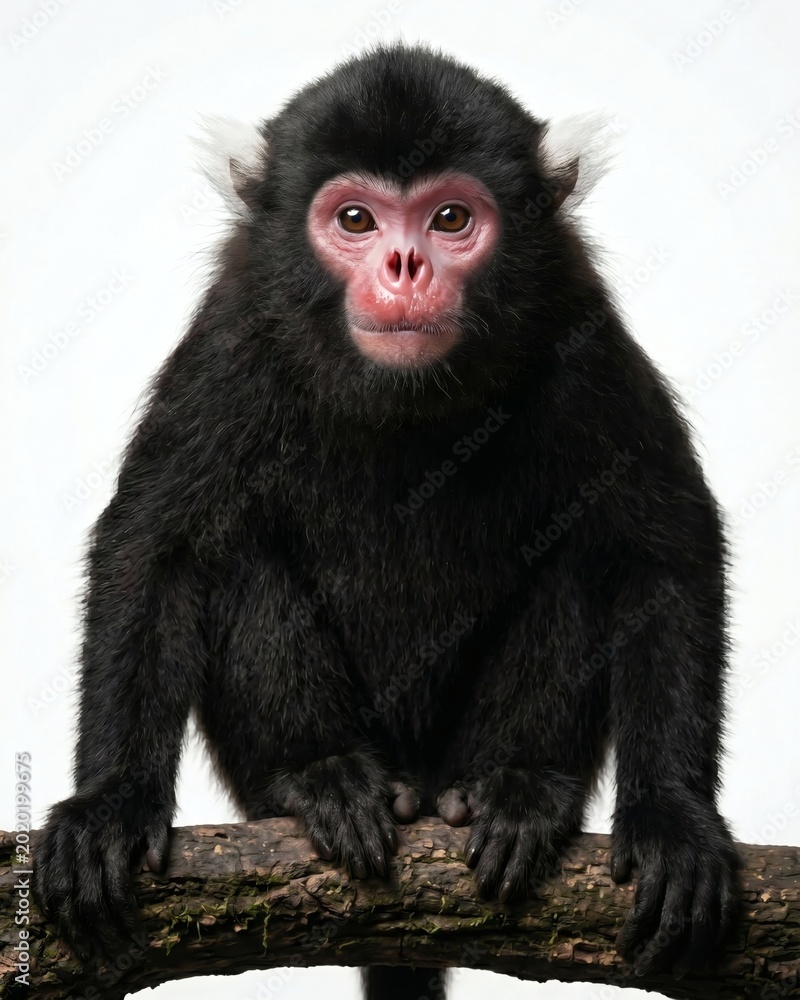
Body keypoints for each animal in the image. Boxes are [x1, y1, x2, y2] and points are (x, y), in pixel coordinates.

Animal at [34, 43, 739, 1000]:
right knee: (237, 555)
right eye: (356, 220)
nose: (405, 266)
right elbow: (157, 548)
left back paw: (515, 790)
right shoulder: (235, 334)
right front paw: (107, 805)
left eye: (451, 218)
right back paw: (319, 779)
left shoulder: (581, 332)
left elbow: (665, 551)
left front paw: (675, 818)